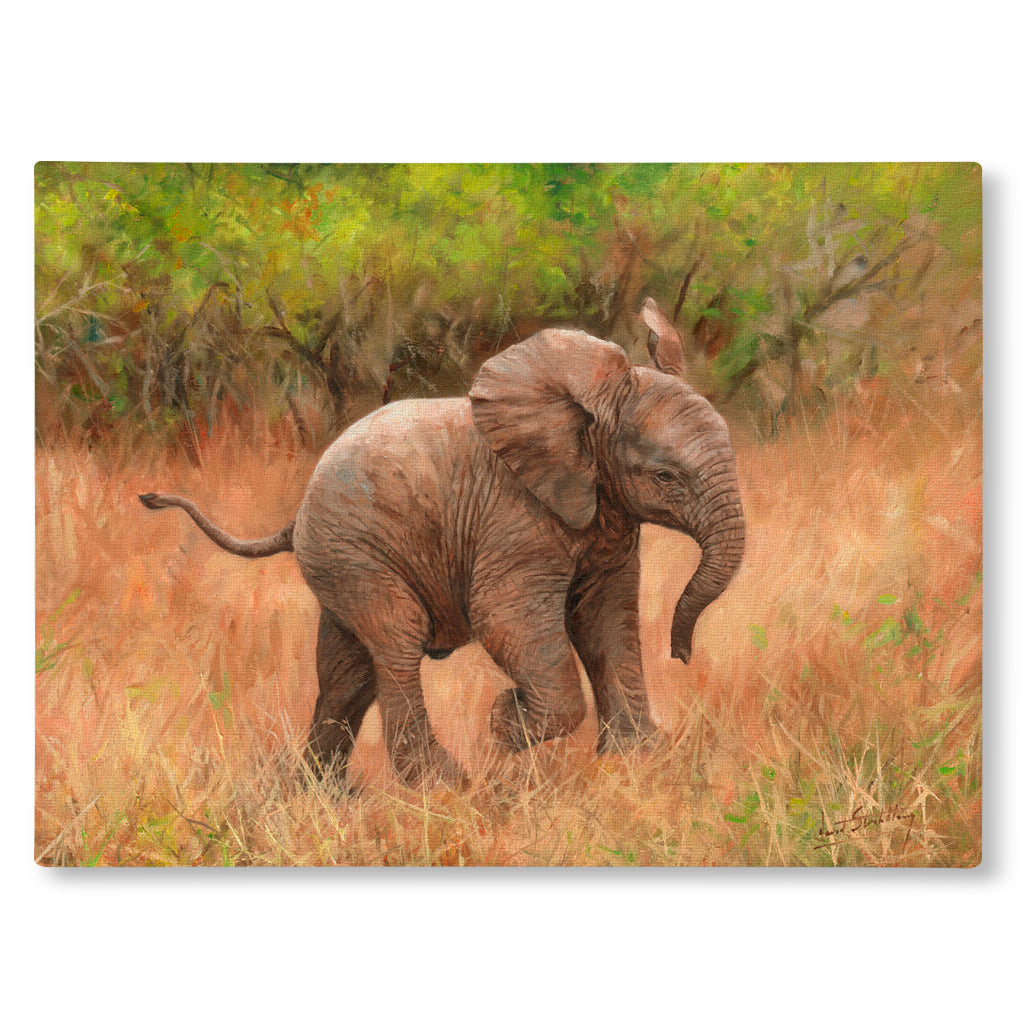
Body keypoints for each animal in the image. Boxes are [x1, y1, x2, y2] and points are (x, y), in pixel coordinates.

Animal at [139, 298, 745, 788]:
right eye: (664, 476)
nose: (682, 655)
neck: (585, 414)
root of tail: (298, 512)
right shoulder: (515, 517)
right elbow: (506, 619)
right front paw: (504, 724)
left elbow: (606, 619)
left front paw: (636, 764)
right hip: (356, 556)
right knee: (396, 642)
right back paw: (444, 785)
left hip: (340, 561)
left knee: (347, 673)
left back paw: (322, 796)